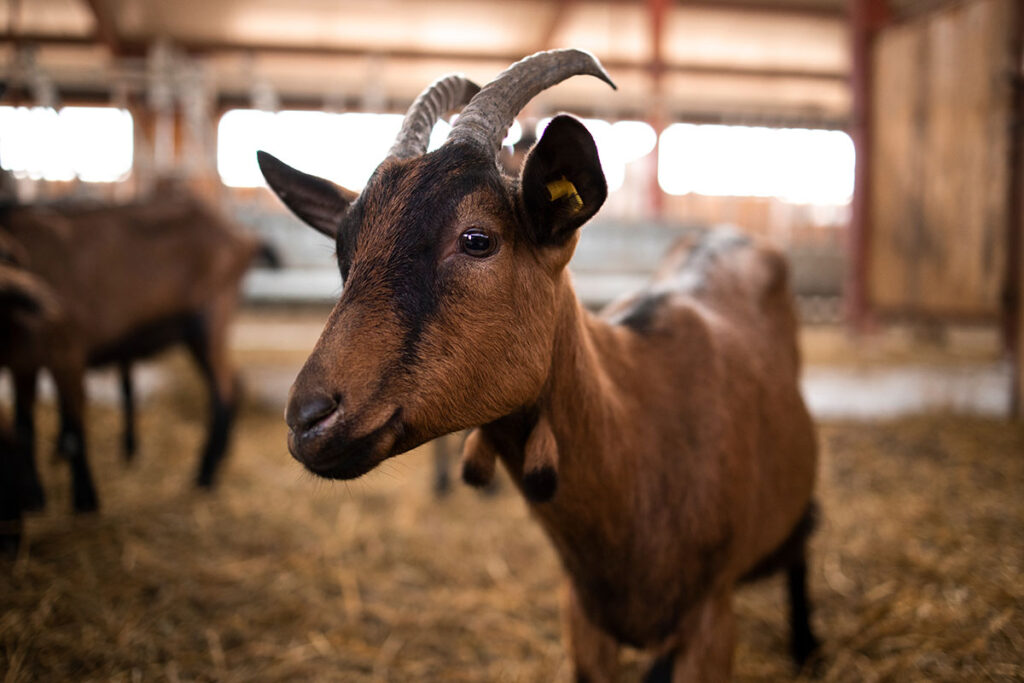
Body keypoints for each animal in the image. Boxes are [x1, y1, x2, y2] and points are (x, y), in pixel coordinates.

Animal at [1, 187, 264, 511]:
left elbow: (74, 428)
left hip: (210, 319)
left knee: (225, 389)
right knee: (235, 383)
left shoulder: (68, 350)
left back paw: (205, 475)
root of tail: (240, 235)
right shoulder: (24, 363)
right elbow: (24, 427)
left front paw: (85, 501)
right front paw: (36, 497)